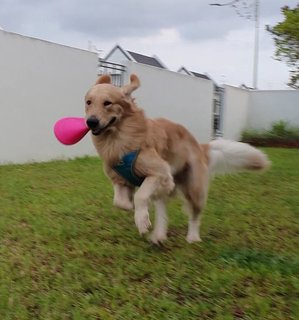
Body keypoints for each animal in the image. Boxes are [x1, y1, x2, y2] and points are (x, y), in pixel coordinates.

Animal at [84, 74, 270, 244]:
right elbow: (119, 201)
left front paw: (141, 220)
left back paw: (192, 237)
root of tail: (200, 146)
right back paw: (158, 236)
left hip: (194, 188)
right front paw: (133, 208)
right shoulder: (120, 180)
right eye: (88, 102)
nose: (91, 122)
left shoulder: (159, 171)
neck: (117, 139)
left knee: (195, 215)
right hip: (168, 189)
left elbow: (140, 196)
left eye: (107, 103)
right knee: (163, 212)